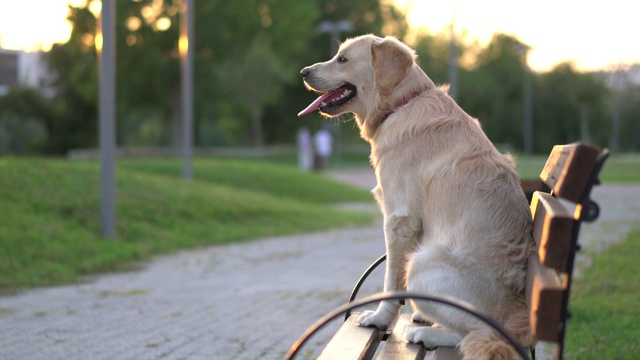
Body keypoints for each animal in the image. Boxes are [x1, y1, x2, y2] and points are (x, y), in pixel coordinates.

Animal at [298, 34, 536, 360]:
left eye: (343, 59)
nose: (304, 72)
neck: (400, 105)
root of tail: (525, 317)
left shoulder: (400, 219)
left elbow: (391, 282)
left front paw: (381, 319)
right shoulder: (418, 225)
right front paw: (416, 314)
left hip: (422, 266)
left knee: (479, 334)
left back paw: (428, 334)